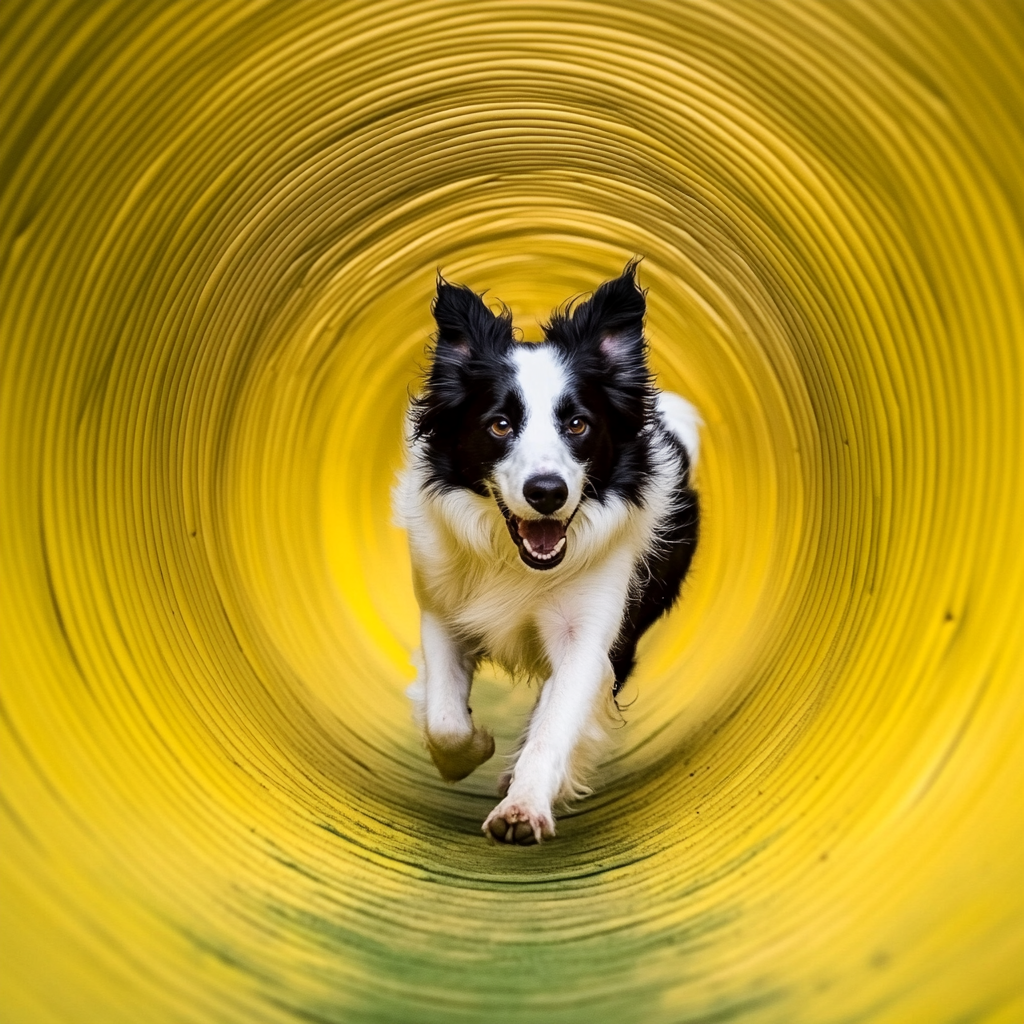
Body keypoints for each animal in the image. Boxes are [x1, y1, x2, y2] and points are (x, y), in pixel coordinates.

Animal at [389, 260, 696, 843]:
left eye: (577, 424)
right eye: (500, 424)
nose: (547, 492)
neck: (516, 562)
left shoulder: (591, 635)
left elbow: (556, 723)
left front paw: (522, 807)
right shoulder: (442, 612)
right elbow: (444, 720)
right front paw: (475, 747)